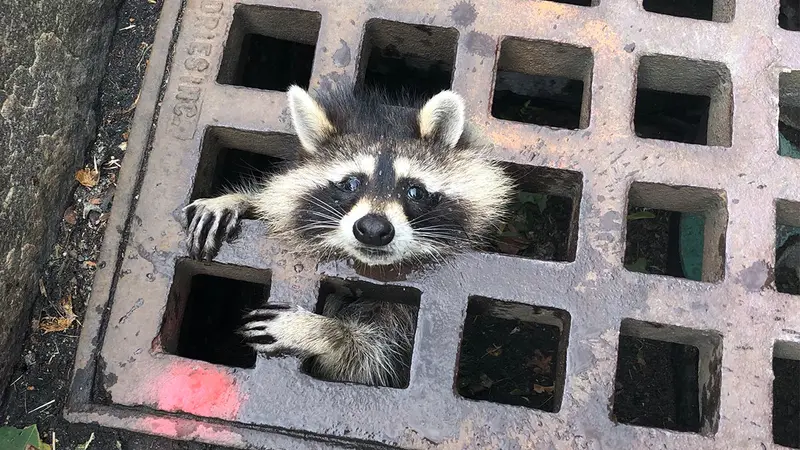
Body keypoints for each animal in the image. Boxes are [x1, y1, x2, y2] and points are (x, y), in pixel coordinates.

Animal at [184, 83, 516, 386]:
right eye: (350, 184)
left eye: (415, 191)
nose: (373, 229)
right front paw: (239, 200)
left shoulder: (402, 323)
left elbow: (367, 358)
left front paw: (324, 332)